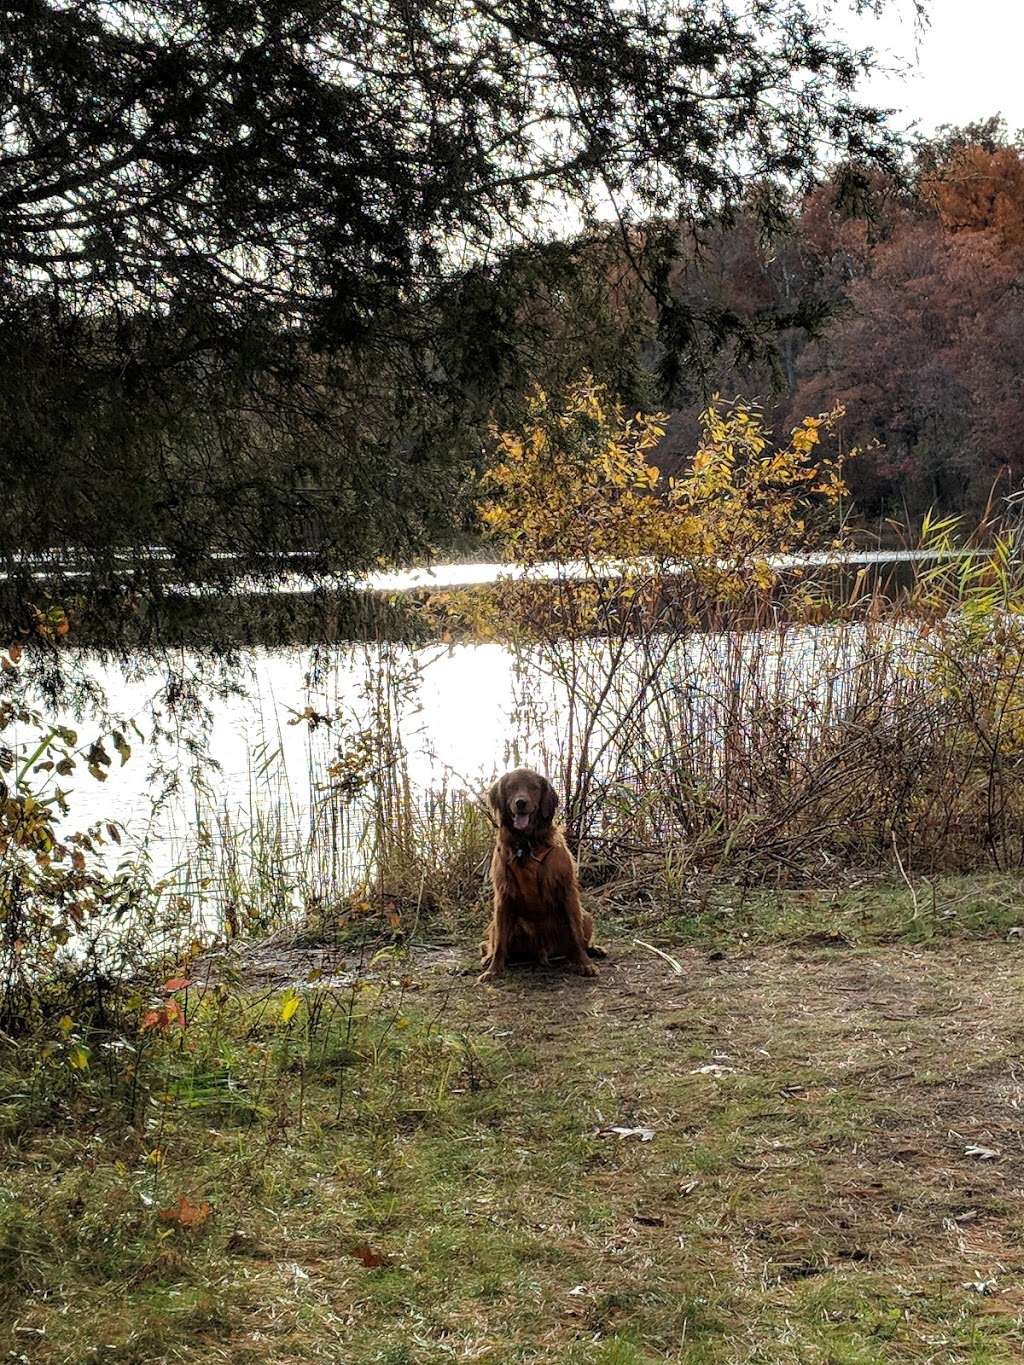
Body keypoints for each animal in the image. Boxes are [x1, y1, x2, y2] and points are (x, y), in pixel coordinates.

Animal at [480, 769, 600, 982]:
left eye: (534, 787)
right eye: (511, 787)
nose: (520, 803)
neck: (526, 844)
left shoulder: (566, 889)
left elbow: (575, 934)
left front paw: (586, 964)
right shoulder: (503, 895)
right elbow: (500, 942)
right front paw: (493, 970)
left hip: (586, 916)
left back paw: (593, 950)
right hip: (498, 922)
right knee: (491, 944)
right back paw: (488, 959)